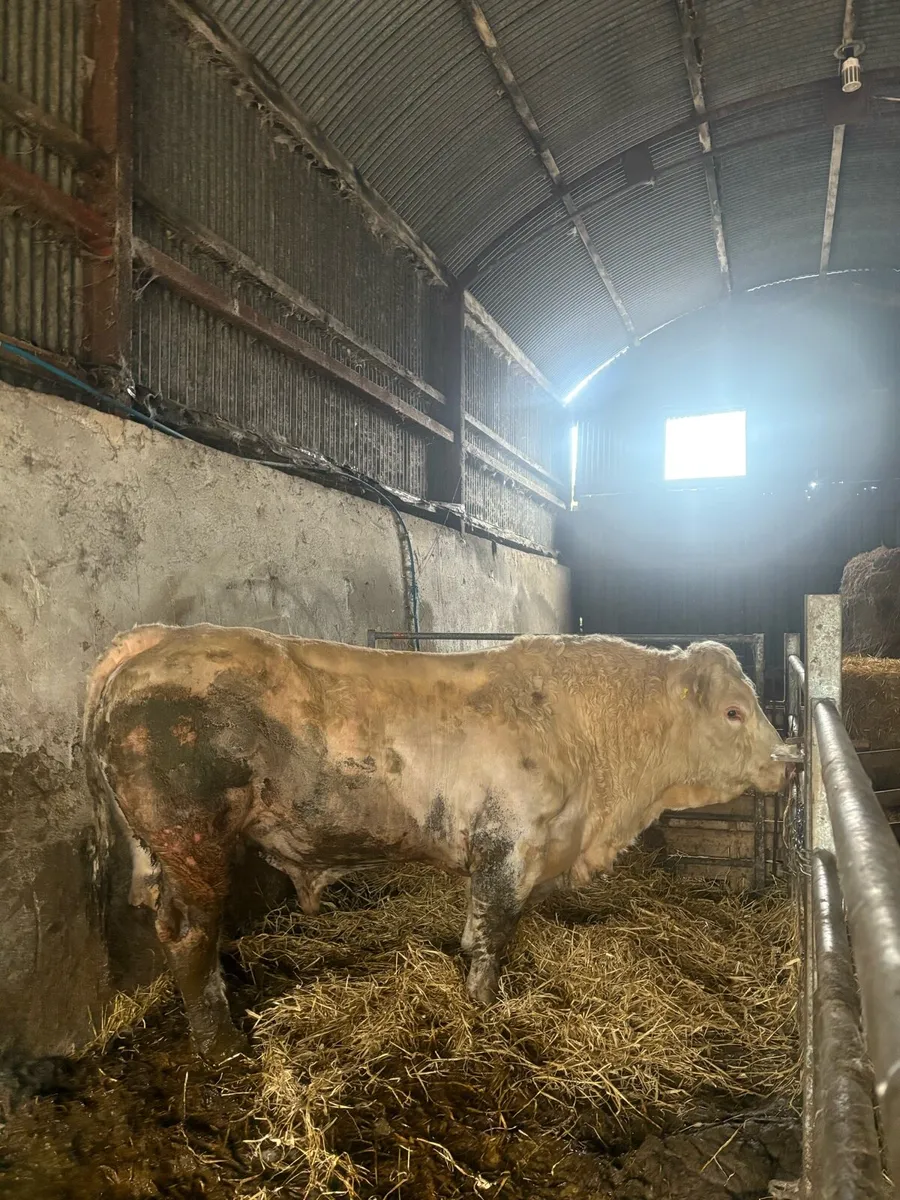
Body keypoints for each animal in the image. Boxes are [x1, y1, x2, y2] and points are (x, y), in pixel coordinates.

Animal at [83, 624, 792, 1061]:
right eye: (734, 711)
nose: (790, 761)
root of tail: (161, 640)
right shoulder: (508, 849)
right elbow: (490, 936)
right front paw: (483, 1008)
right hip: (191, 841)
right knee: (188, 935)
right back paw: (220, 1043)